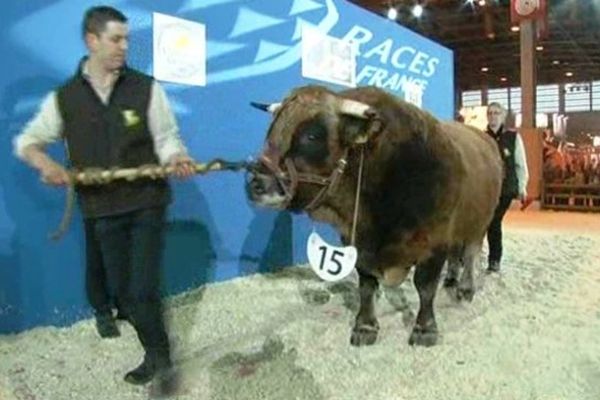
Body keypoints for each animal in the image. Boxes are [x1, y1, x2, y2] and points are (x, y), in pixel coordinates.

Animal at [246, 85, 504, 346]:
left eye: (311, 136)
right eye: (271, 131)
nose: (256, 184)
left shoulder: (435, 240)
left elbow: (425, 286)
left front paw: (425, 329)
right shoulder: (357, 244)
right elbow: (367, 286)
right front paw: (365, 326)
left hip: (480, 222)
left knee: (470, 253)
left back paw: (466, 288)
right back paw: (451, 280)